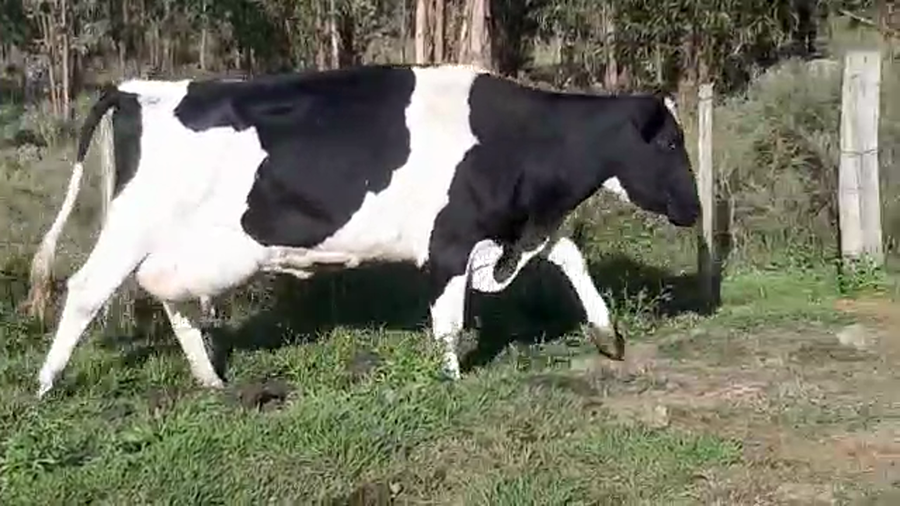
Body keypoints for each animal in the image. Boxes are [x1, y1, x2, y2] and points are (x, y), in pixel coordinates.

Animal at [25, 63, 700, 399]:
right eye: (670, 141)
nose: (695, 210)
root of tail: (140, 88)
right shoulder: (450, 242)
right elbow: (448, 320)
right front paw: (452, 380)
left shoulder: (508, 230)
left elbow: (570, 254)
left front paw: (608, 336)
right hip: (133, 225)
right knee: (85, 290)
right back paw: (45, 385)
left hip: (183, 245)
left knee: (173, 298)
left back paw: (212, 380)